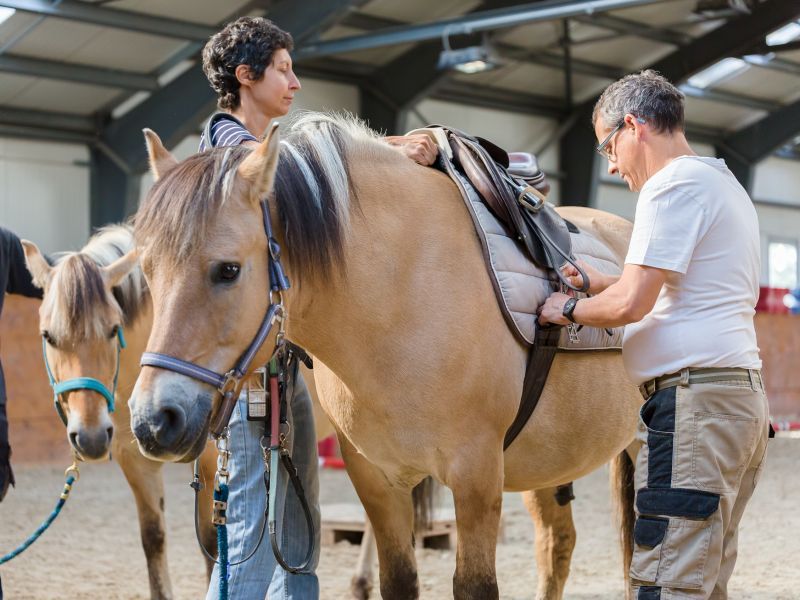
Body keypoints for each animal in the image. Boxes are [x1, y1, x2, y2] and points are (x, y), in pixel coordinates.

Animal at [130, 113, 644, 600]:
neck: (402, 289)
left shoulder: (476, 476)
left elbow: (475, 586)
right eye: (148, 270)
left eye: (228, 270)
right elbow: (398, 580)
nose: (153, 420)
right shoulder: (377, 480)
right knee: (558, 545)